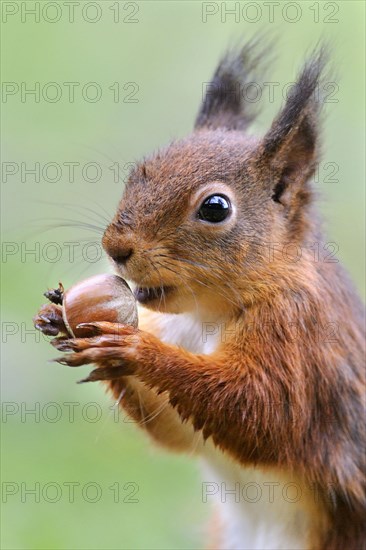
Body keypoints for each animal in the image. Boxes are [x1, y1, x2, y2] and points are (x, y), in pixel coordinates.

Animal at [33, 43, 364, 550]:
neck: (205, 316)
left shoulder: (300, 335)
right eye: (137, 173)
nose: (116, 247)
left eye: (215, 208)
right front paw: (59, 320)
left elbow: (262, 413)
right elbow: (176, 433)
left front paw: (135, 350)